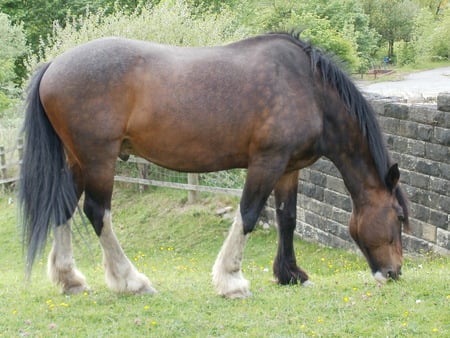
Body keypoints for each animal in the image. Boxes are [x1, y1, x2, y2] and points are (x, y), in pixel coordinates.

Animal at [20, 32, 408, 298]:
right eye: (399, 217)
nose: (394, 273)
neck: (308, 89)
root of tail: (53, 66)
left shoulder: (288, 167)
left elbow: (288, 218)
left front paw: (289, 274)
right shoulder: (267, 161)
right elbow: (248, 214)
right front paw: (231, 280)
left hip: (77, 161)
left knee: (63, 209)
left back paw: (70, 279)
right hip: (99, 159)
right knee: (97, 212)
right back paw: (131, 280)